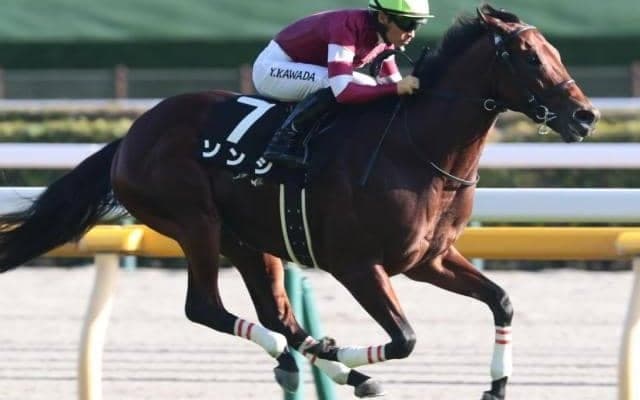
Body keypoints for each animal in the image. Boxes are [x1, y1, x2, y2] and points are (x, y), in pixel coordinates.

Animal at [0, 5, 598, 399]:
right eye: (528, 57)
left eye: (555, 52)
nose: (586, 115)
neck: (416, 148)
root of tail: (131, 134)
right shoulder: (357, 265)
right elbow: (404, 338)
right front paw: (349, 355)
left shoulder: (429, 260)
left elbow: (502, 301)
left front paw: (496, 387)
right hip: (196, 222)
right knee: (206, 307)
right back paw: (333, 363)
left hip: (249, 238)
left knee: (279, 315)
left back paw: (314, 362)